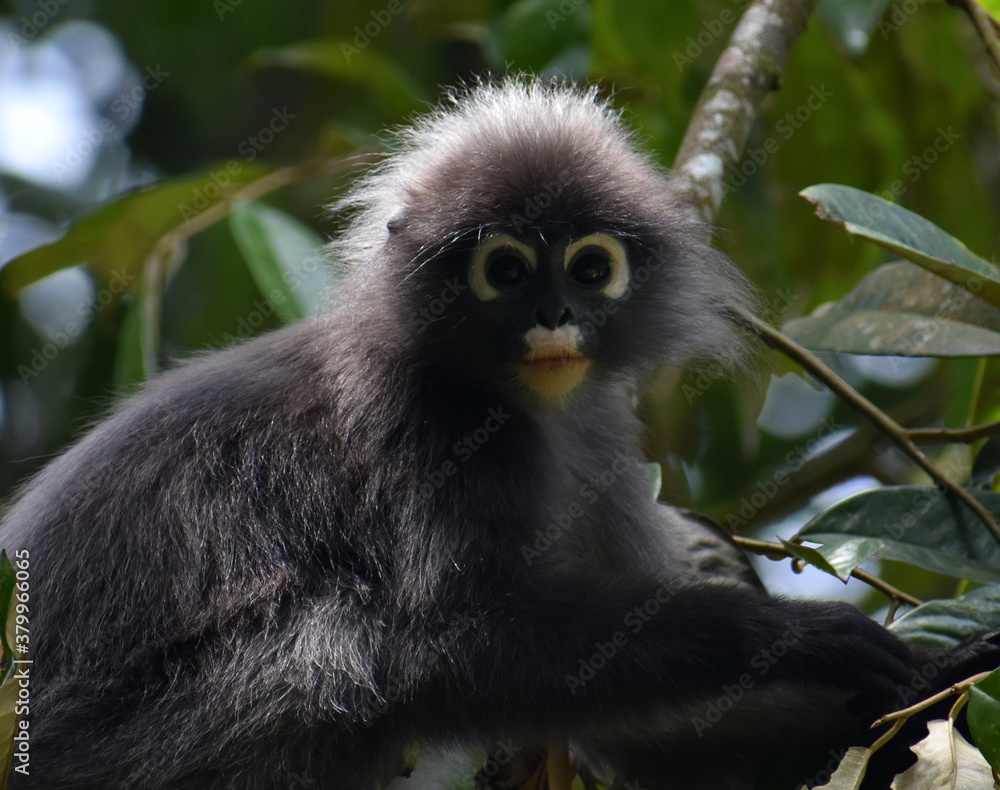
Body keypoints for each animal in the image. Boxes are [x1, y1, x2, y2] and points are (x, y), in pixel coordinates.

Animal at [0, 78, 949, 790]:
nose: (554, 315)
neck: (512, 398)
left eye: (591, 266)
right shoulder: (434, 430)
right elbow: (464, 644)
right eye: (506, 269)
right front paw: (790, 635)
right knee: (344, 642)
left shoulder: (598, 429)